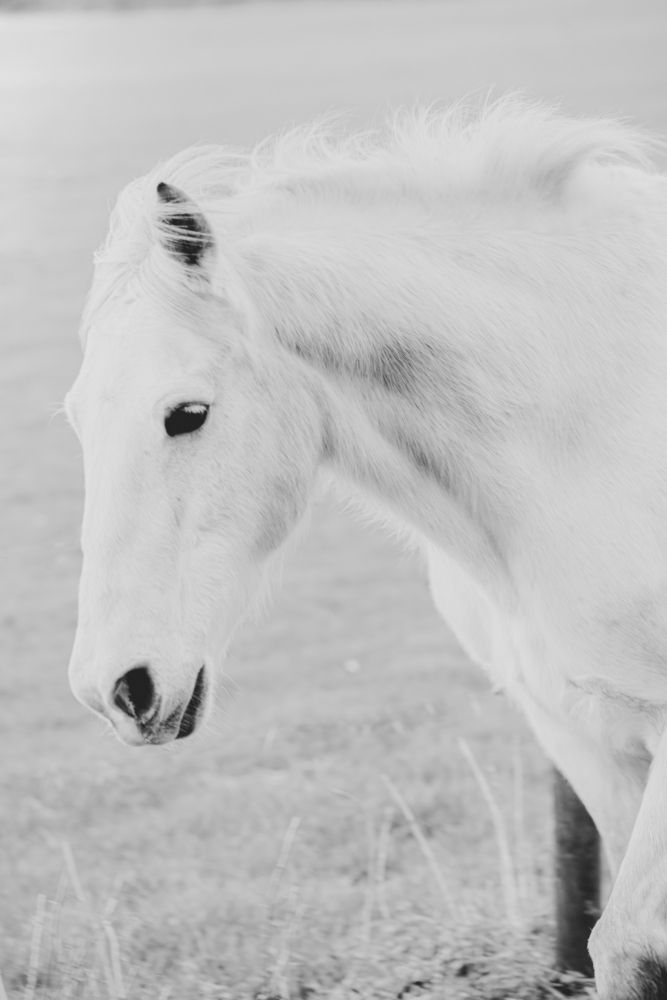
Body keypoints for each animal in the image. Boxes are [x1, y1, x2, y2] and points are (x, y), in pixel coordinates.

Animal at [65, 97, 667, 1000]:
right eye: (75, 417)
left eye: (188, 413)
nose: (117, 688)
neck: (591, 422)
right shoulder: (582, 735)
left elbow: (627, 943)